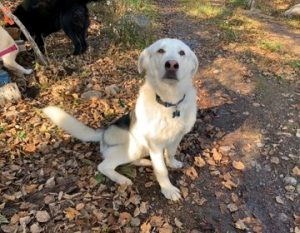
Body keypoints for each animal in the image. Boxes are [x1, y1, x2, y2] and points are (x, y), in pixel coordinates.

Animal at [41, 38, 198, 200]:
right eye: (160, 51)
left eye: (182, 53)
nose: (172, 64)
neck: (170, 103)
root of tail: (103, 133)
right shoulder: (155, 145)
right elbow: (162, 170)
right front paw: (168, 189)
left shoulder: (177, 136)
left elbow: (171, 153)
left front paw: (172, 163)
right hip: (134, 147)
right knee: (104, 166)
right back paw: (122, 179)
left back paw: (146, 162)